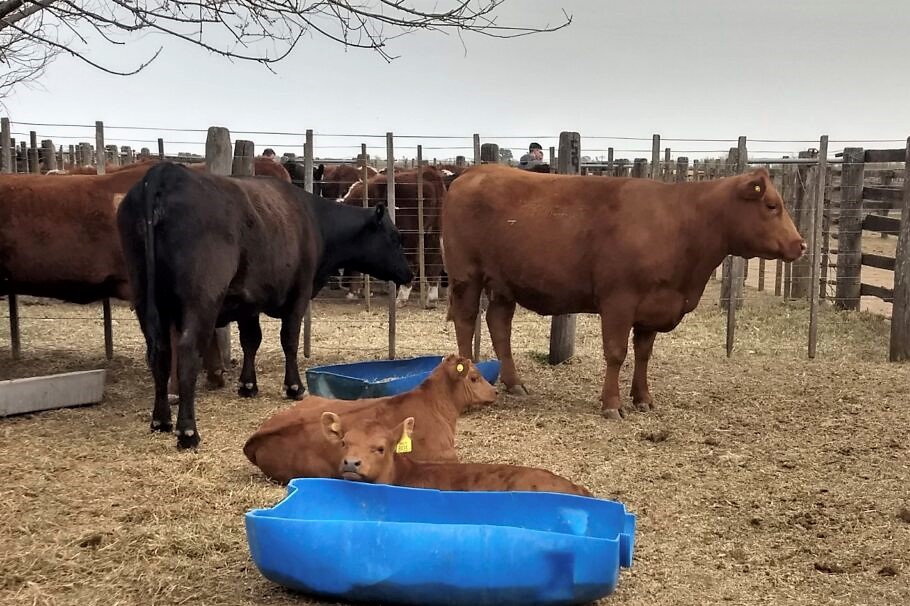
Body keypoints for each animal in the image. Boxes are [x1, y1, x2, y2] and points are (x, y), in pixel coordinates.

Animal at [116, 164, 414, 448]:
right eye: (395, 237)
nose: (409, 274)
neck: (314, 221)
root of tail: (164, 173)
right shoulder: (298, 295)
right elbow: (289, 340)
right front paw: (294, 387)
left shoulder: (248, 302)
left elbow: (251, 340)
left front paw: (248, 385)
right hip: (201, 300)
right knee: (187, 353)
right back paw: (188, 431)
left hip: (145, 297)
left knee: (160, 354)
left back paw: (161, 420)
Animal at [442, 164, 804, 420]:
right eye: (772, 205)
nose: (801, 245)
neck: (682, 222)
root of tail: (474, 171)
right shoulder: (619, 301)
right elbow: (616, 353)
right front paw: (612, 403)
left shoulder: (653, 306)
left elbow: (643, 354)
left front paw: (643, 398)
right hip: (466, 276)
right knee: (466, 320)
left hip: (504, 282)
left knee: (499, 324)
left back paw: (514, 383)